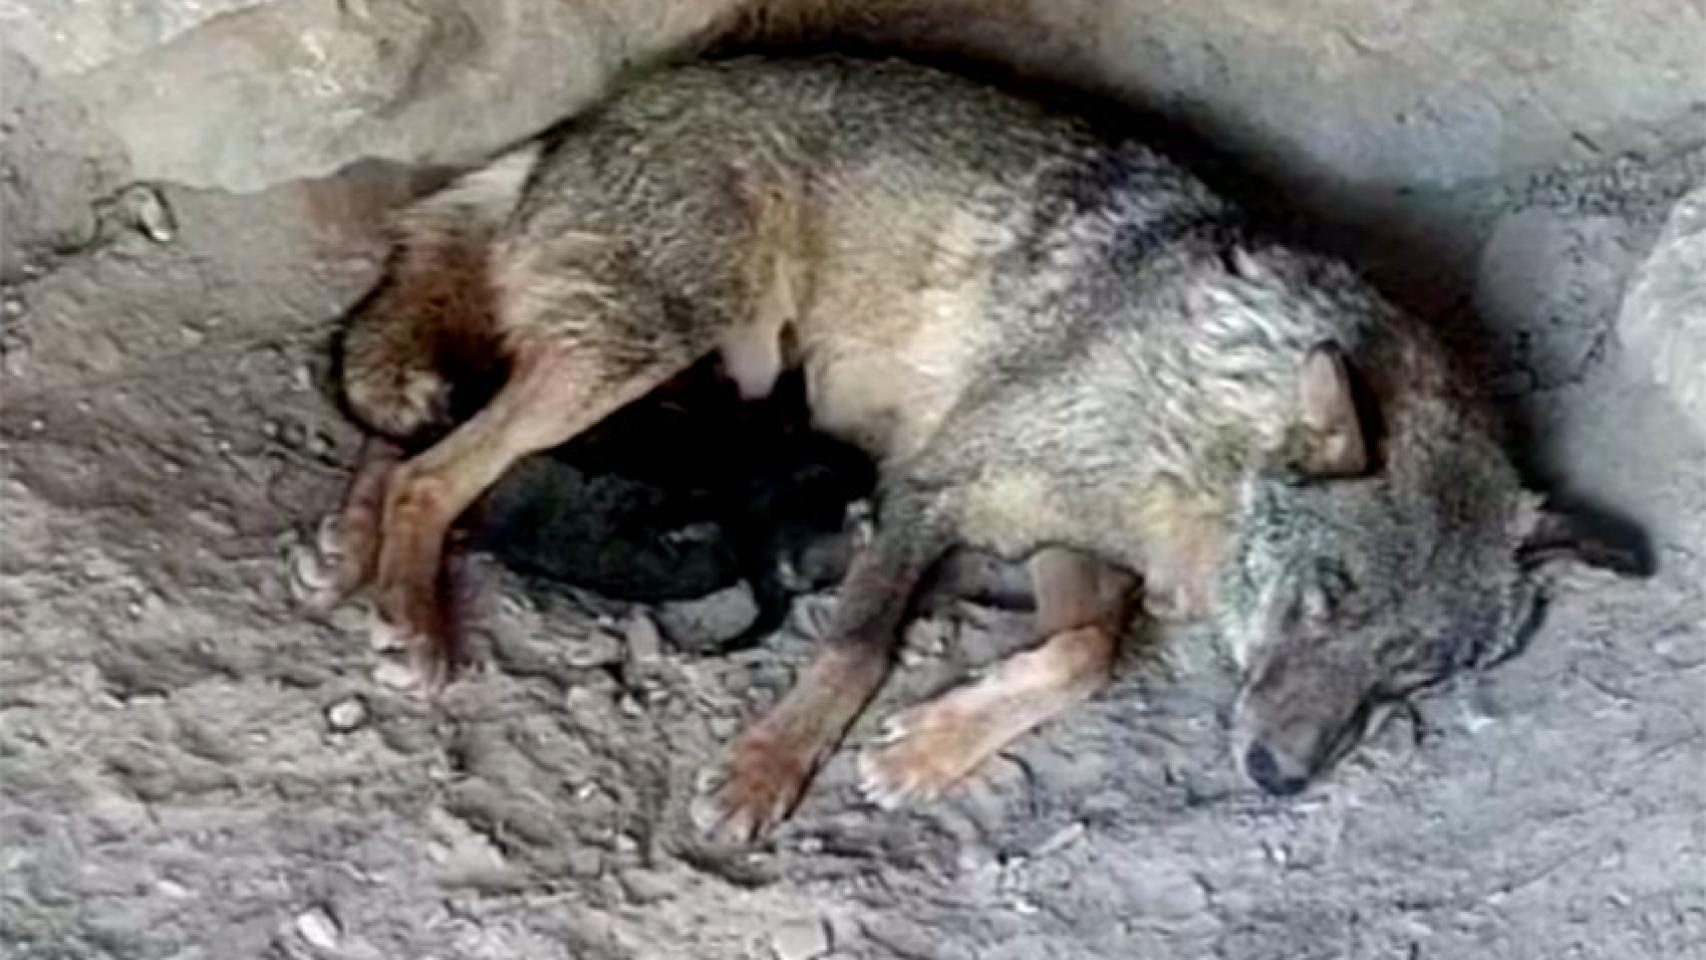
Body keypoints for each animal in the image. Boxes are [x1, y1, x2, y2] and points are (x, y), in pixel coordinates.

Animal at [304, 53, 1641, 844]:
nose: (1276, 777)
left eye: (1414, 672)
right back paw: (410, 612)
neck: (1198, 448)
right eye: (1325, 600)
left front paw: (934, 749)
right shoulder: (931, 486)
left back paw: (354, 557)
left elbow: (1086, 655)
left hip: (626, 367)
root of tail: (579, 122)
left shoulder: (1060, 543)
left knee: (419, 436)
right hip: (641, 352)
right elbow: (854, 645)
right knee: (432, 463)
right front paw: (767, 768)